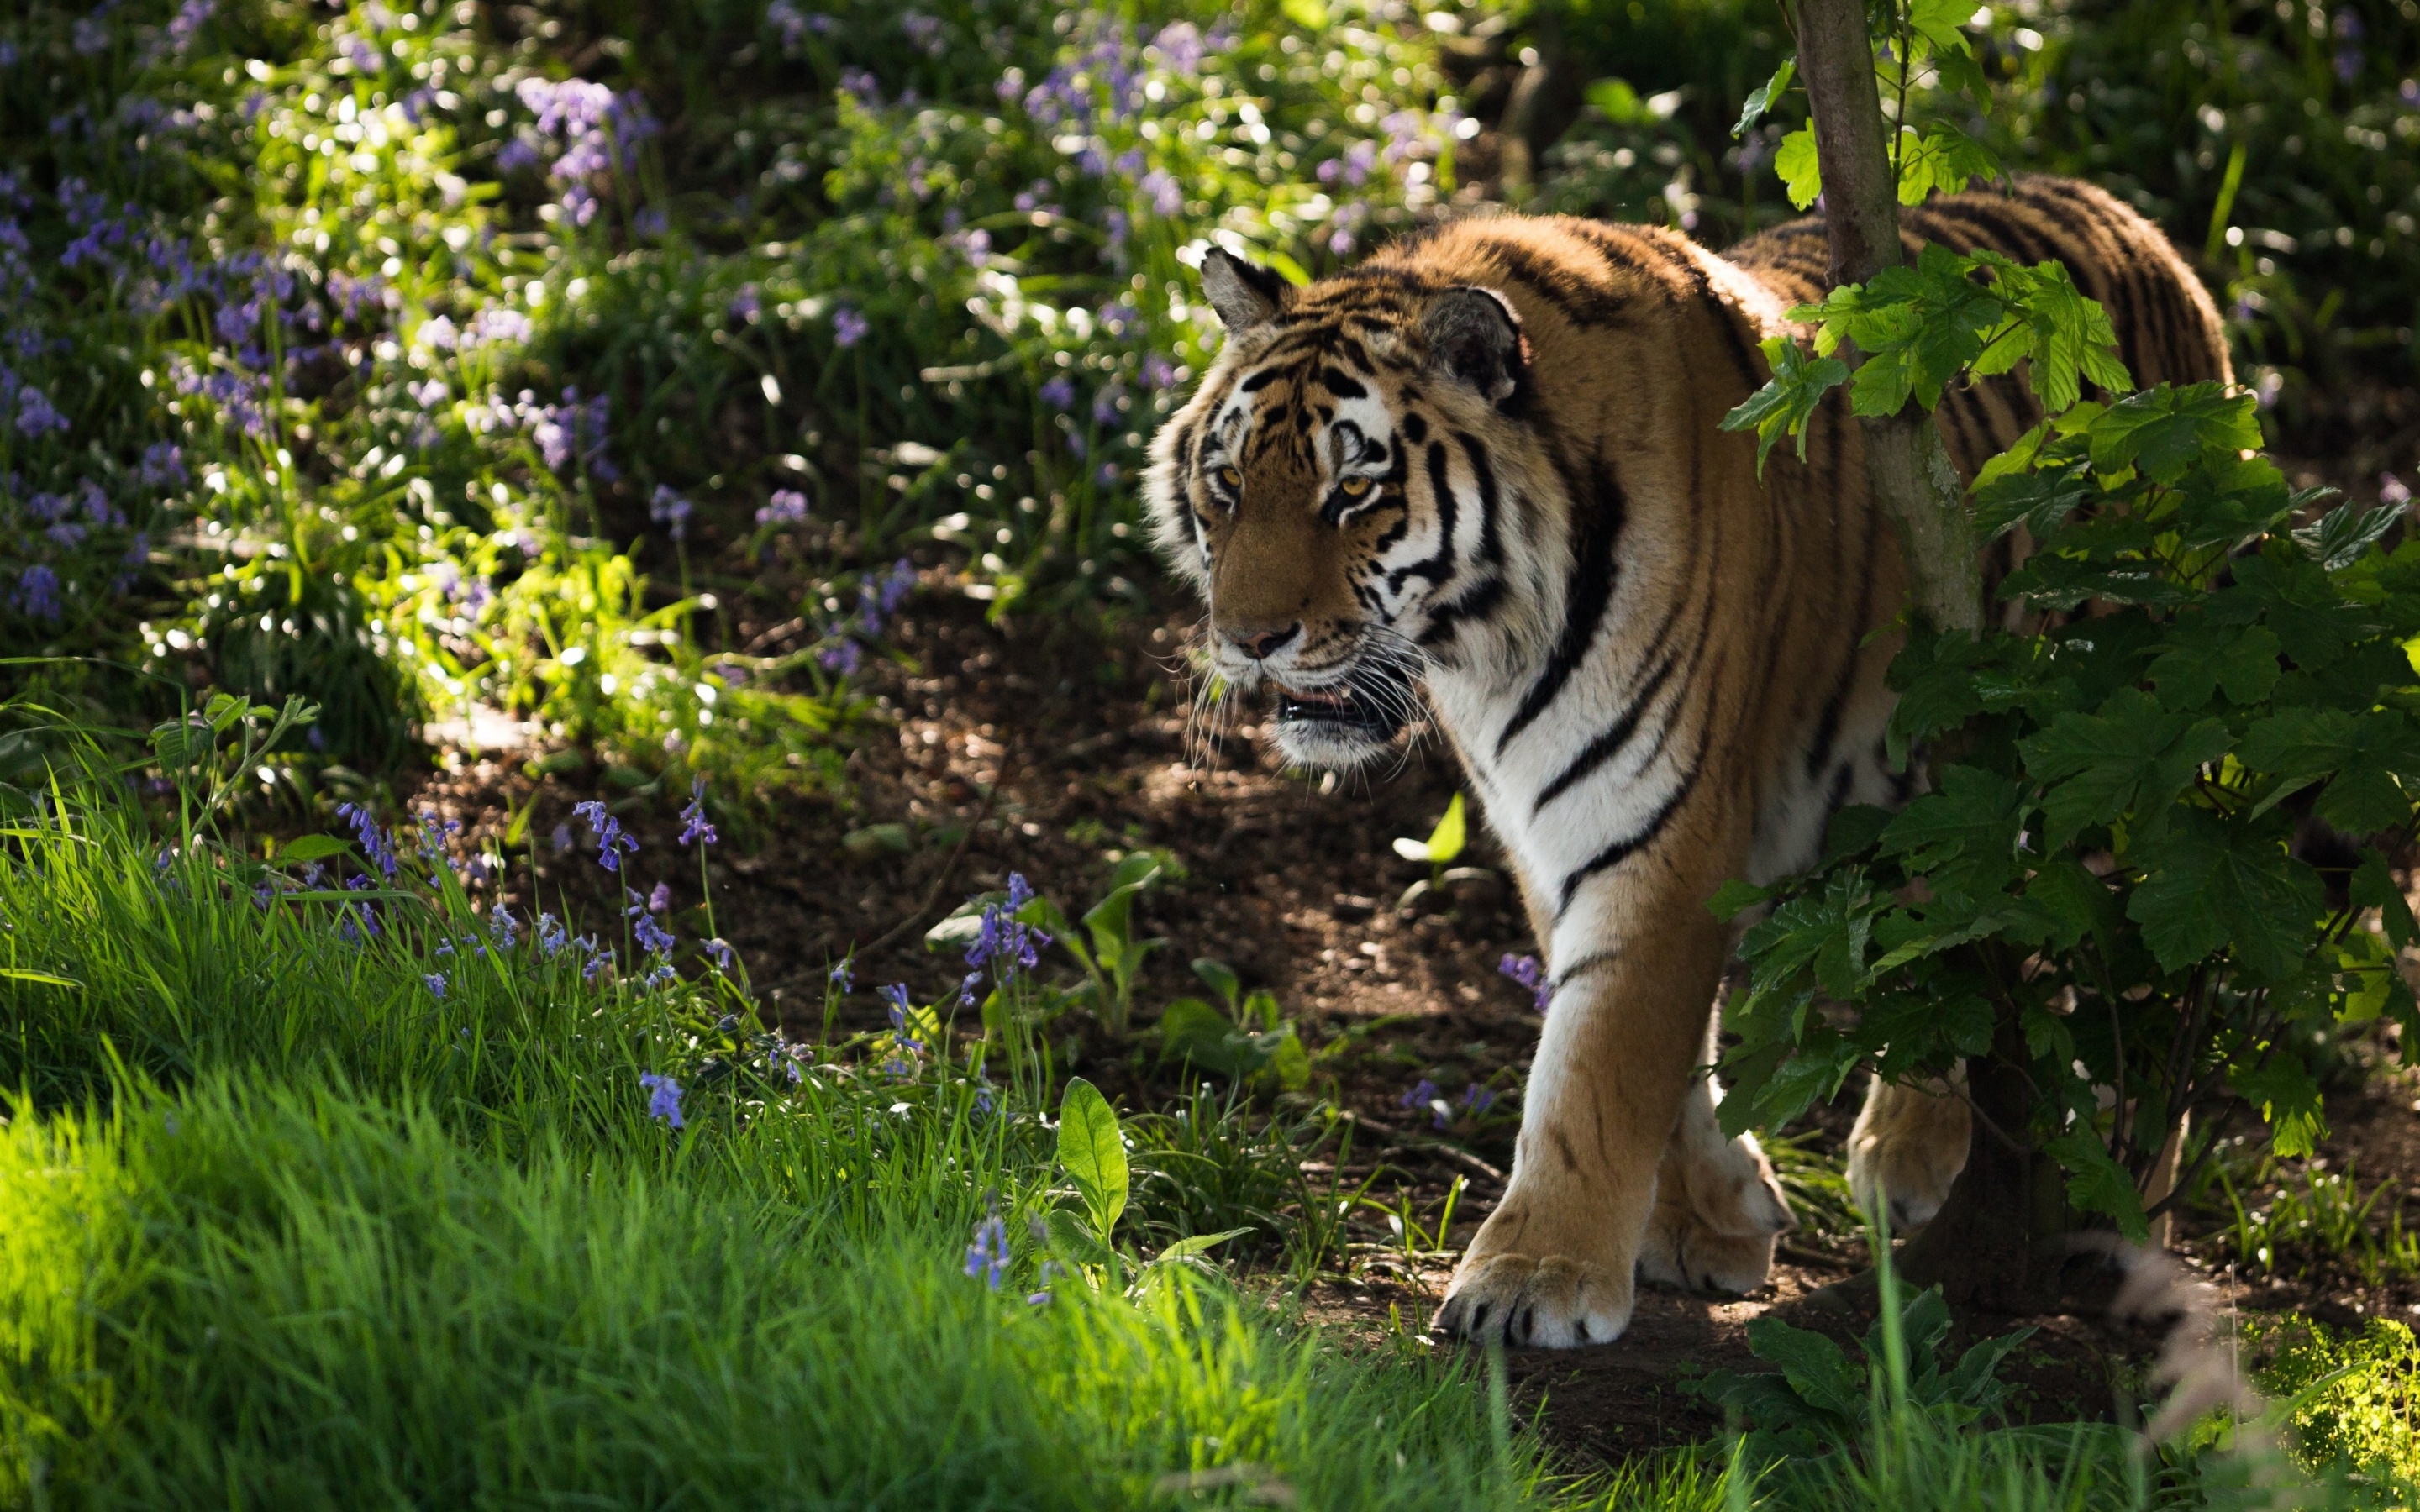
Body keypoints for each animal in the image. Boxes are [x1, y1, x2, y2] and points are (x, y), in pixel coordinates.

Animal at [1142, 168, 2236, 1345]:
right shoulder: (1555, 828)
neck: (1486, 645)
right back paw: (1912, 1156)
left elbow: (1600, 1062)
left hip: (2125, 760)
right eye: (1227, 485)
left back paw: (2125, 1233)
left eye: (1353, 492)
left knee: (2146, 1003)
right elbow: (1649, 1049)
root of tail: (2133, 220)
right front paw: (1709, 1223)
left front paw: (1534, 1278)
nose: (1247, 638)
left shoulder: (1656, 815)